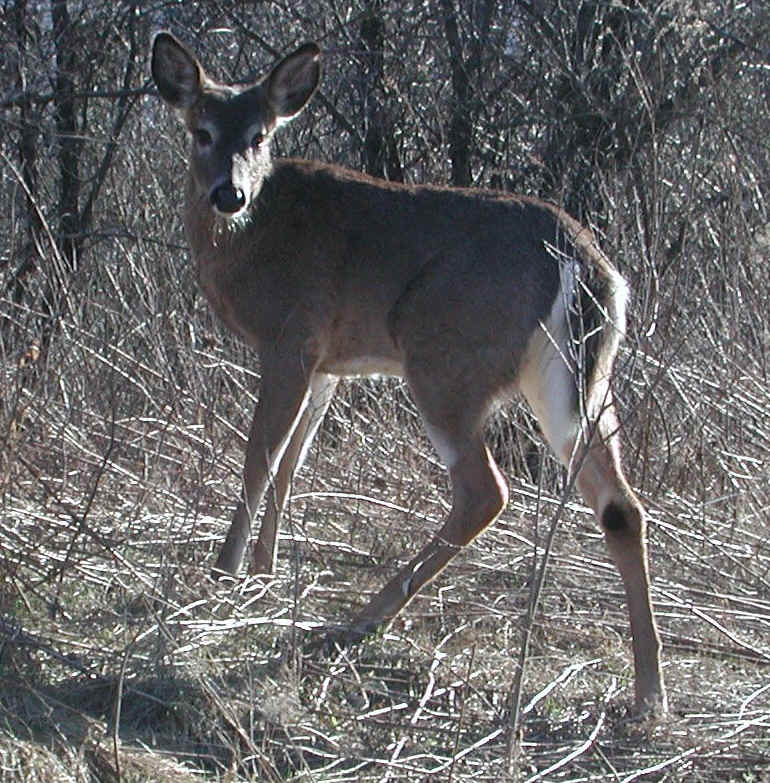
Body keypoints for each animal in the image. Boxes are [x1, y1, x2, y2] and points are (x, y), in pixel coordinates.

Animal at [150, 32, 667, 715]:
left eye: (260, 135)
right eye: (202, 130)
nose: (227, 194)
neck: (252, 238)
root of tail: (583, 261)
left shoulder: (291, 335)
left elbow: (261, 457)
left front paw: (224, 573)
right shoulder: (330, 362)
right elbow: (293, 462)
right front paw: (264, 570)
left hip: (444, 358)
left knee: (485, 490)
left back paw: (362, 620)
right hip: (576, 379)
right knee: (620, 504)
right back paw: (649, 693)